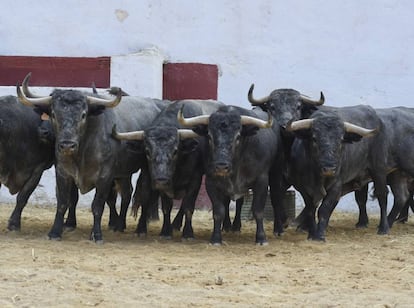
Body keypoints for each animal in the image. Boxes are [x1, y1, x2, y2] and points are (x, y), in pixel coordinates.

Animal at [112, 100, 223, 239]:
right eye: (147, 151)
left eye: (175, 151)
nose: (161, 179)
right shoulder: (154, 180)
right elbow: (165, 206)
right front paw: (164, 231)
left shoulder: (195, 179)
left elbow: (189, 205)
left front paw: (188, 233)